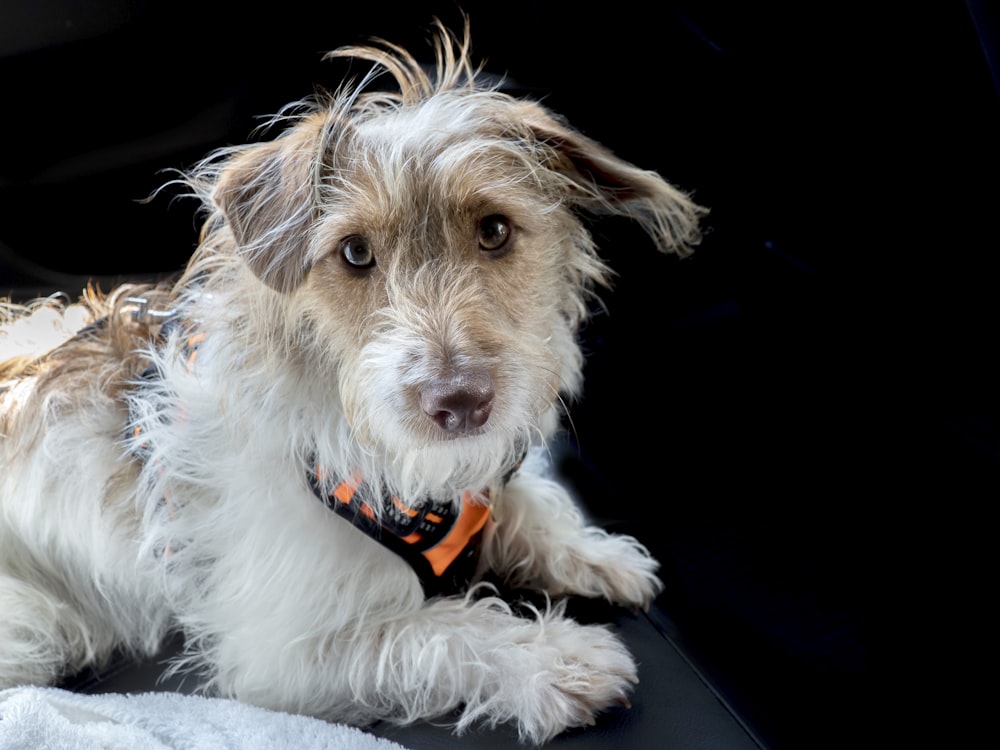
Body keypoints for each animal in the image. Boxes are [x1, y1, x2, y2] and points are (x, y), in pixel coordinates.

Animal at [0, 17, 704, 748]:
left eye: (495, 231)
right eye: (355, 253)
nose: (460, 402)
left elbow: (525, 500)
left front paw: (591, 553)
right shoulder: (288, 655)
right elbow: (439, 633)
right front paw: (558, 660)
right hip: (38, 624)